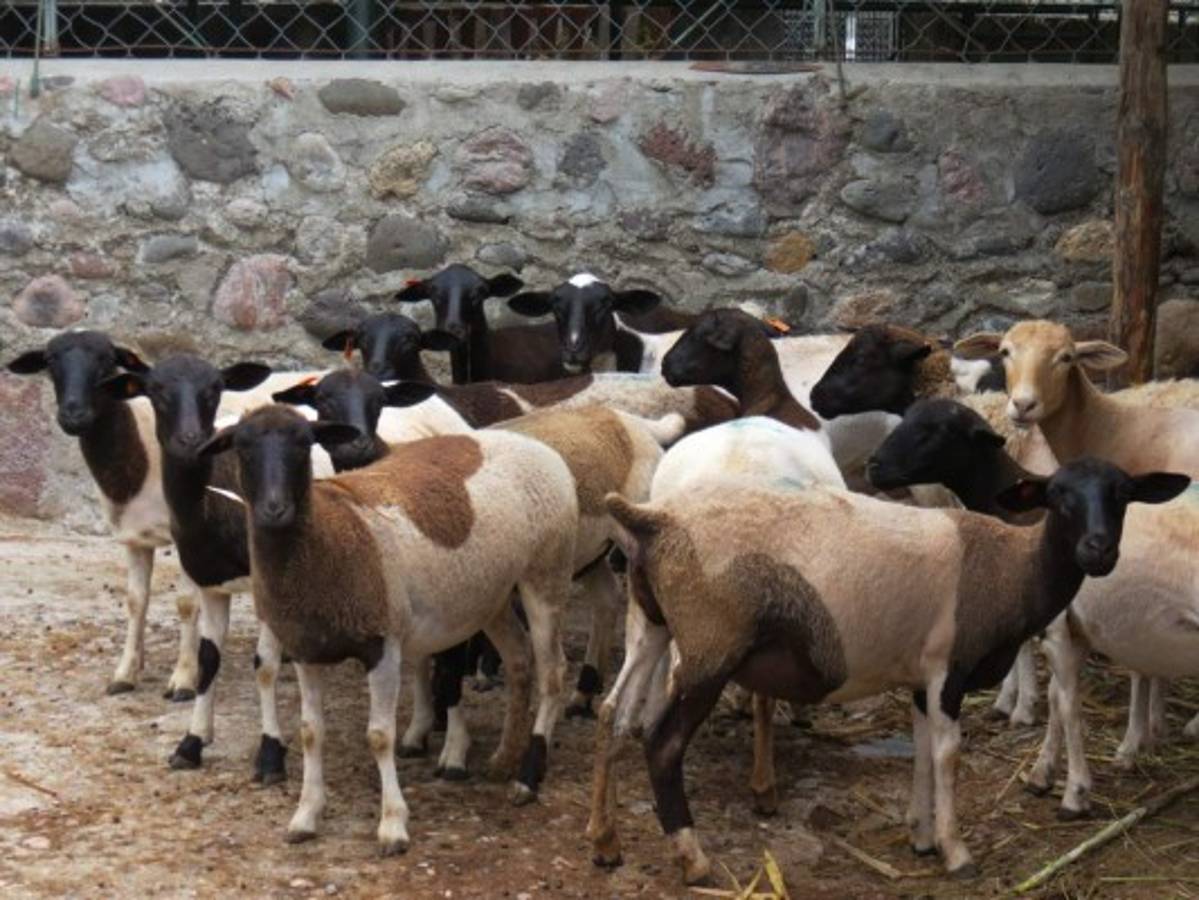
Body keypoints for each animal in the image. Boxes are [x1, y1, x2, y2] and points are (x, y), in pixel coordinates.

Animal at [5, 332, 196, 700]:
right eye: (50, 361)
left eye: (107, 360)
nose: (74, 413)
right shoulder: (135, 535)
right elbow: (136, 601)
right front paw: (125, 674)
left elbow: (185, 603)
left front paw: (184, 680)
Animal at [197, 404, 579, 849]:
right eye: (241, 447)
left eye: (304, 444)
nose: (274, 509)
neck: (329, 538)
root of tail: (534, 443)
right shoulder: (308, 652)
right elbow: (311, 732)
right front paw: (306, 815)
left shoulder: (382, 645)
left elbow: (380, 736)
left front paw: (393, 824)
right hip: (493, 595)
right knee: (519, 662)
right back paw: (503, 759)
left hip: (547, 573)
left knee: (553, 673)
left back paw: (528, 777)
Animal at [597, 457, 1186, 883]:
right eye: (1059, 495)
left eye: (1122, 495)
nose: (1099, 550)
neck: (1013, 569)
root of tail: (655, 519)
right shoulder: (949, 670)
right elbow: (948, 755)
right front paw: (956, 852)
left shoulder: (922, 678)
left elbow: (923, 749)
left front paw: (921, 837)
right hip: (709, 648)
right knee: (662, 745)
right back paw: (691, 856)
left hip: (655, 626)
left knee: (616, 715)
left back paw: (605, 844)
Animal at [867, 398, 1199, 815]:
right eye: (906, 417)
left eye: (934, 431)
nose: (873, 466)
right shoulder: (1074, 629)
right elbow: (1060, 696)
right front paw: (1045, 771)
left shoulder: (1054, 627)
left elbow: (1068, 702)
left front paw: (1073, 790)